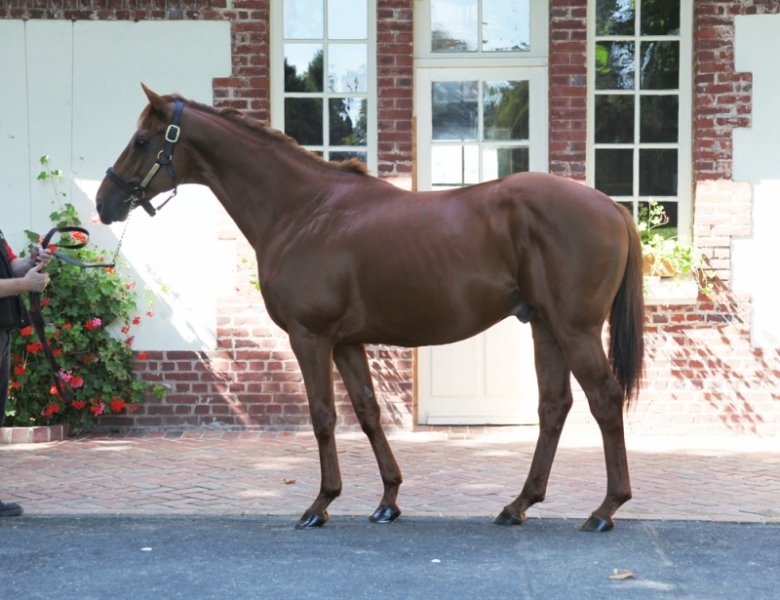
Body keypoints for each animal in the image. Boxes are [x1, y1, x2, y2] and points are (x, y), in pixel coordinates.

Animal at [96, 85, 644, 532]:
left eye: (142, 140)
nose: (104, 201)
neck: (301, 210)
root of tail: (612, 206)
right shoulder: (347, 342)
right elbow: (367, 412)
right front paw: (387, 501)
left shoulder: (310, 336)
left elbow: (322, 415)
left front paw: (320, 504)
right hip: (545, 327)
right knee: (554, 406)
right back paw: (519, 504)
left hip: (574, 329)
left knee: (604, 399)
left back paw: (605, 508)